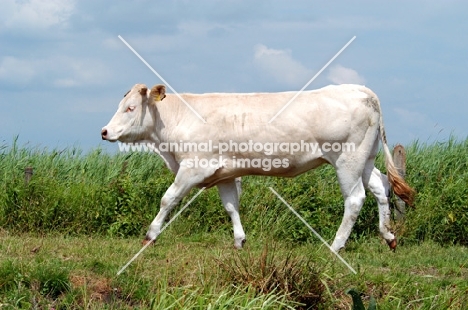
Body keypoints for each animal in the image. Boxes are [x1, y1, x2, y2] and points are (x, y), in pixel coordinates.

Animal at [101, 84, 414, 252]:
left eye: (130, 108)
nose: (104, 131)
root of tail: (359, 89)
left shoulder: (193, 167)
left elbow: (168, 198)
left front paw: (150, 235)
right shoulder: (224, 173)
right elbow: (231, 206)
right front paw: (239, 240)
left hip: (347, 161)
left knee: (355, 199)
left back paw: (335, 246)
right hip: (365, 159)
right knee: (381, 186)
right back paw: (388, 236)